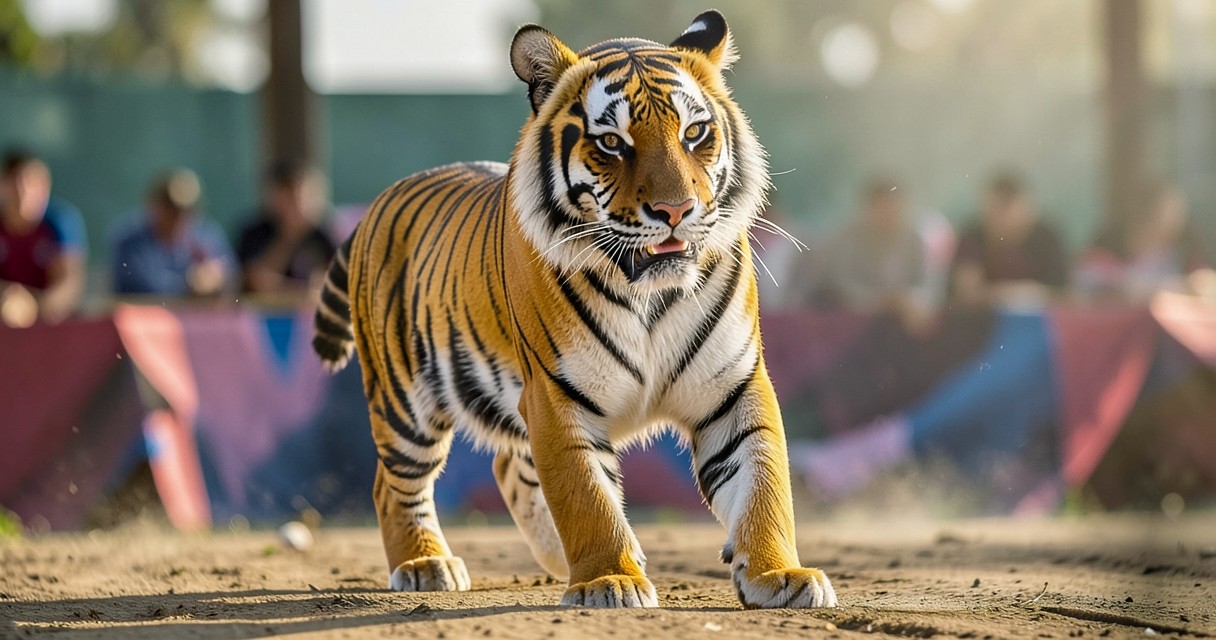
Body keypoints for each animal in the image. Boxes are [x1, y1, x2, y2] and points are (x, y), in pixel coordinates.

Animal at [312, 10, 837, 609]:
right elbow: (586, 494)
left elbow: (763, 482)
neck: (651, 296)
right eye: (611, 142)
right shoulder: (556, 395)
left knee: (508, 464)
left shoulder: (734, 386)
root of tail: (379, 201)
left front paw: (780, 575)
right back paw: (425, 564)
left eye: (693, 133)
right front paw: (611, 580)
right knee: (392, 482)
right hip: (407, 401)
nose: (676, 210)